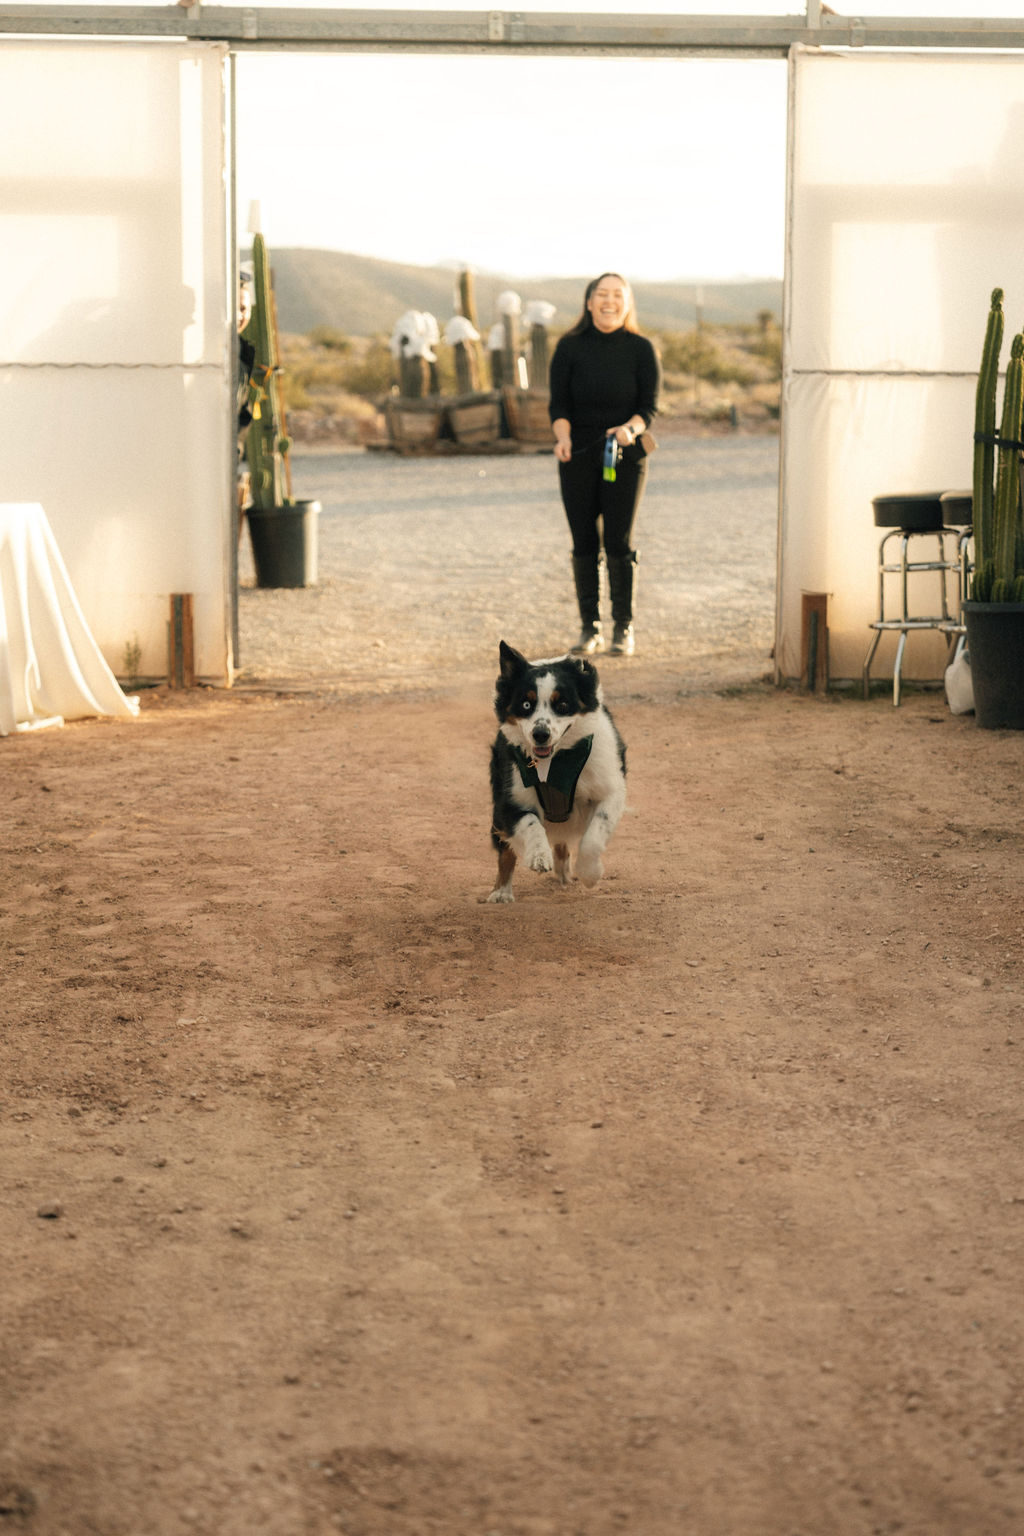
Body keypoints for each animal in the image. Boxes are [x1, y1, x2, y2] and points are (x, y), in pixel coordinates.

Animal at [488, 642, 629, 903]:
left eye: (562, 705)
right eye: (526, 705)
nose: (540, 734)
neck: (555, 763)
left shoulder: (610, 790)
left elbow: (594, 836)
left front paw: (589, 874)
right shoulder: (510, 800)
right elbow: (531, 823)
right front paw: (539, 856)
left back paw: (564, 874)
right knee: (506, 852)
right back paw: (501, 891)